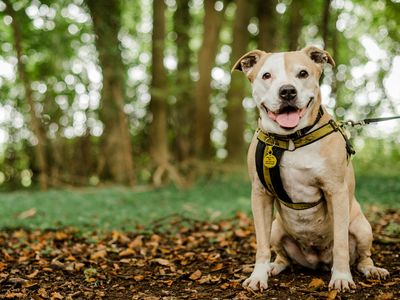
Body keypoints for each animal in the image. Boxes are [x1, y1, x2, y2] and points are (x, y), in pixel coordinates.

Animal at [233, 45, 390, 292]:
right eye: (266, 75)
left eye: (303, 74)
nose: (287, 91)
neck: (291, 140)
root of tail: (318, 261)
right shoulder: (260, 195)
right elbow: (262, 245)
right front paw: (259, 276)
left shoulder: (336, 191)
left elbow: (341, 245)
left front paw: (342, 277)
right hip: (277, 229)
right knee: (282, 257)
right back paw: (273, 267)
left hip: (362, 227)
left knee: (362, 256)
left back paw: (371, 269)